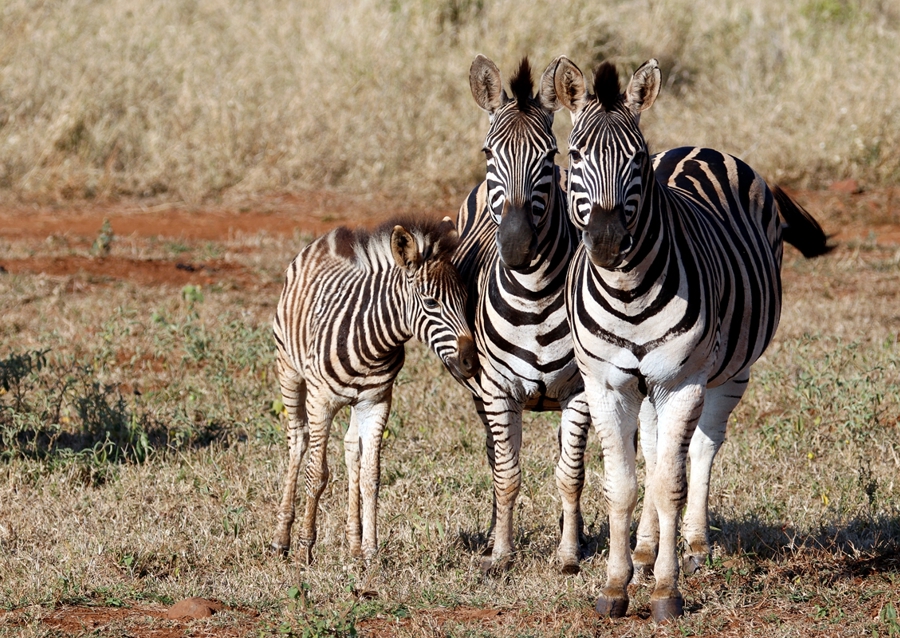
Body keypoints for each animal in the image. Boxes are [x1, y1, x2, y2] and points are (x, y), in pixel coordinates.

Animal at [270, 217, 478, 565]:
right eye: (431, 302)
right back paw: (281, 539)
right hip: (288, 369)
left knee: (351, 449)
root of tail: (326, 238)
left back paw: (353, 544)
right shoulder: (320, 401)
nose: (471, 363)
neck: (374, 345)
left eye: (466, 301)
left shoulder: (377, 402)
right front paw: (304, 548)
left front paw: (370, 552)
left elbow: (372, 476)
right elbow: (317, 474)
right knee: (298, 440)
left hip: (356, 402)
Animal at [453, 55, 590, 574]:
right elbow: (506, 474)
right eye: (489, 154)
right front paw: (501, 554)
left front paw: (569, 555)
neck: (533, 298)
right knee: (495, 458)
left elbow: (570, 475)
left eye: (549, 157)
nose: (515, 246)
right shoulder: (496, 392)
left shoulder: (580, 392)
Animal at [550, 56, 831, 620]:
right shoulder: (605, 384)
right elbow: (623, 485)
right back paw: (643, 549)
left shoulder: (683, 381)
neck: (629, 292)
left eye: (636, 158)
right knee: (655, 449)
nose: (608, 243)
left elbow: (670, 484)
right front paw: (616, 586)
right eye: (575, 154)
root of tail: (701, 146)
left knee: (700, 449)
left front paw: (665, 591)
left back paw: (694, 545)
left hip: (729, 371)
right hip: (647, 386)